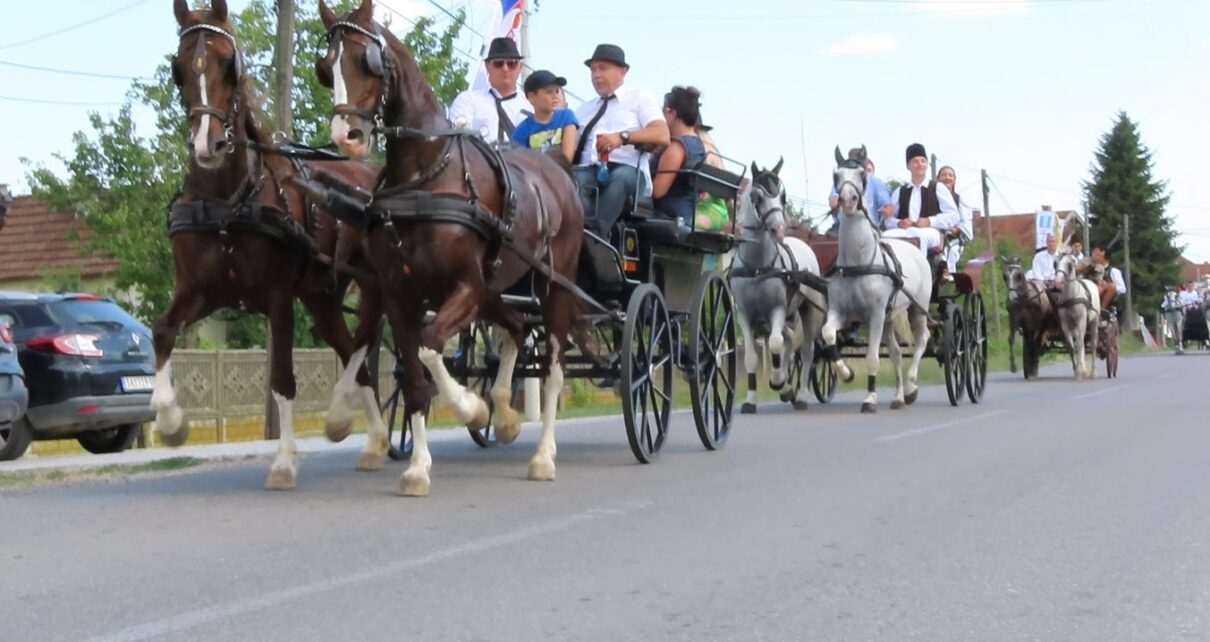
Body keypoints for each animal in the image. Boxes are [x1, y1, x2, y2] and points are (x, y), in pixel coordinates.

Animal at [153, 0, 384, 490]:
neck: (228, 201)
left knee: (364, 342)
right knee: (355, 354)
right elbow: (161, 331)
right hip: (321, 297)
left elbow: (282, 379)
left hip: (375, 286)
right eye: (178, 69)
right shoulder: (200, 292)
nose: (207, 144)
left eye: (229, 63)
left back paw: (346, 421)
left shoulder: (278, 299)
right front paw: (170, 421)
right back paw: (374, 441)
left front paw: (283, 462)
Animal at [314, 0, 583, 498]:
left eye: (366, 60)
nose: (347, 136)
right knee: (518, 326)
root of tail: (557, 168)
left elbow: (430, 348)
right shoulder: (401, 296)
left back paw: (542, 455)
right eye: (327, 67)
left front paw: (470, 408)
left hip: (555, 285)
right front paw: (419, 466)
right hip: (496, 288)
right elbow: (414, 378)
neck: (424, 179)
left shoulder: (464, 288)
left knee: (553, 369)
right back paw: (506, 413)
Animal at [730, 159, 827, 411]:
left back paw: (800, 394)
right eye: (757, 196)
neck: (756, 267)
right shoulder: (745, 315)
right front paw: (751, 400)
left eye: (782, 196)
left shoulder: (777, 310)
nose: (779, 229)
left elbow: (774, 344)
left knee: (806, 350)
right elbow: (752, 357)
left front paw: (779, 383)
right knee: (790, 339)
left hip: (808, 310)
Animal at [817, 147, 929, 413]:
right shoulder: (841, 312)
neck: (858, 263)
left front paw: (870, 398)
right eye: (836, 174)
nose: (848, 201)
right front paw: (846, 373)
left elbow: (872, 357)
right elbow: (828, 334)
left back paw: (911, 387)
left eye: (861, 173)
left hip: (918, 308)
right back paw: (899, 397)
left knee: (922, 340)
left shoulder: (875, 315)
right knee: (897, 353)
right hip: (890, 317)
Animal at [1055, 252, 1103, 382]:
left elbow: (1080, 345)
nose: (1057, 281)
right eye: (1055, 263)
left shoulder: (1081, 321)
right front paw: (1077, 371)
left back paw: (1092, 372)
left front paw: (1080, 371)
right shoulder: (1065, 324)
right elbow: (1072, 347)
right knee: (1080, 343)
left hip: (1093, 322)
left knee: (1093, 345)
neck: (1071, 297)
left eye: (1069, 264)